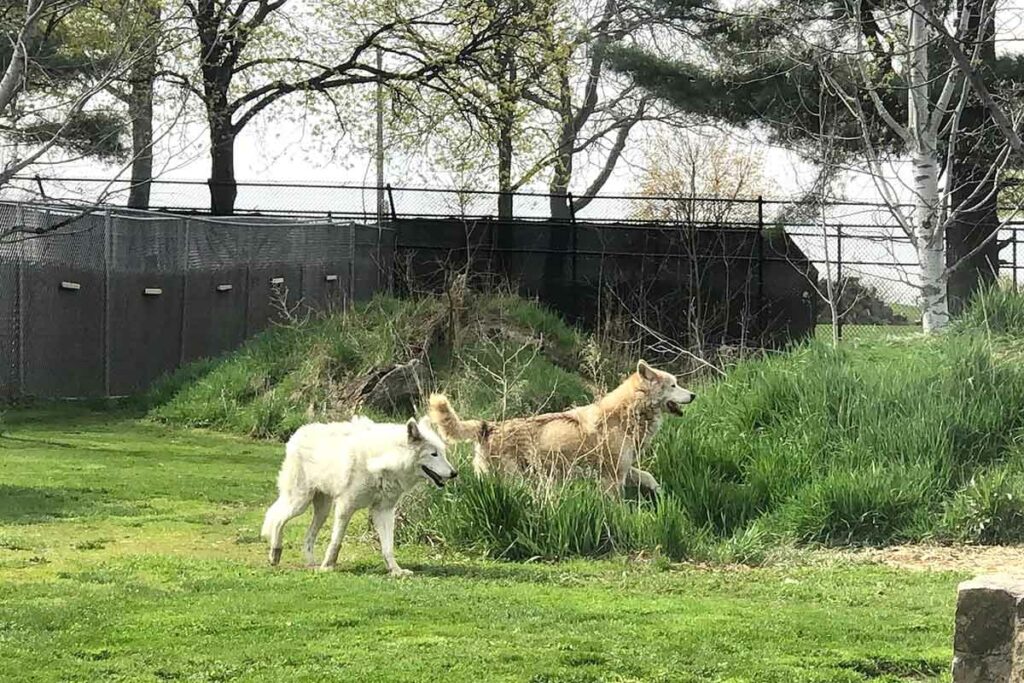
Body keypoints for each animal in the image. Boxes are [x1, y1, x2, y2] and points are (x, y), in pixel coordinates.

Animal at [260, 417, 456, 577]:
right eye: (433, 454)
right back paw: (275, 554)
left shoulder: (384, 511)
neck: (382, 461)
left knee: (307, 537)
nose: (455, 473)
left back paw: (312, 564)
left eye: (443, 453)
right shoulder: (345, 507)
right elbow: (336, 541)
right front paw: (328, 566)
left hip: (322, 511)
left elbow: (388, 547)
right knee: (277, 518)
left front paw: (396, 571)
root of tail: (298, 434)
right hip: (300, 503)